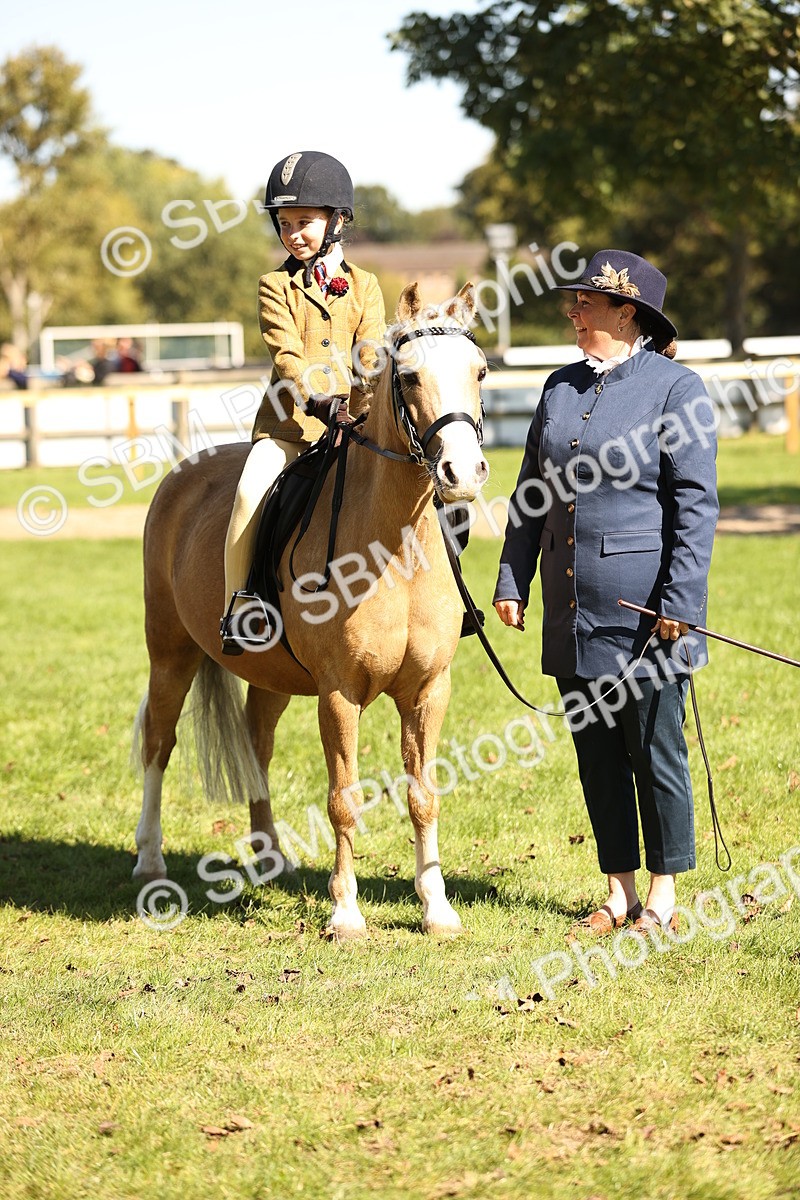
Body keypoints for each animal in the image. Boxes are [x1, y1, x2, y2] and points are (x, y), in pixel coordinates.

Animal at [131, 283, 489, 938]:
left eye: (479, 371)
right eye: (409, 376)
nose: (462, 473)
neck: (393, 546)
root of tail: (183, 474)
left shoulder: (429, 689)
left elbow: (423, 793)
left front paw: (437, 907)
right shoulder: (339, 692)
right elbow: (343, 798)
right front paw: (345, 913)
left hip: (269, 674)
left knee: (256, 745)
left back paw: (270, 855)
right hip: (169, 653)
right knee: (158, 744)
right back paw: (149, 859)